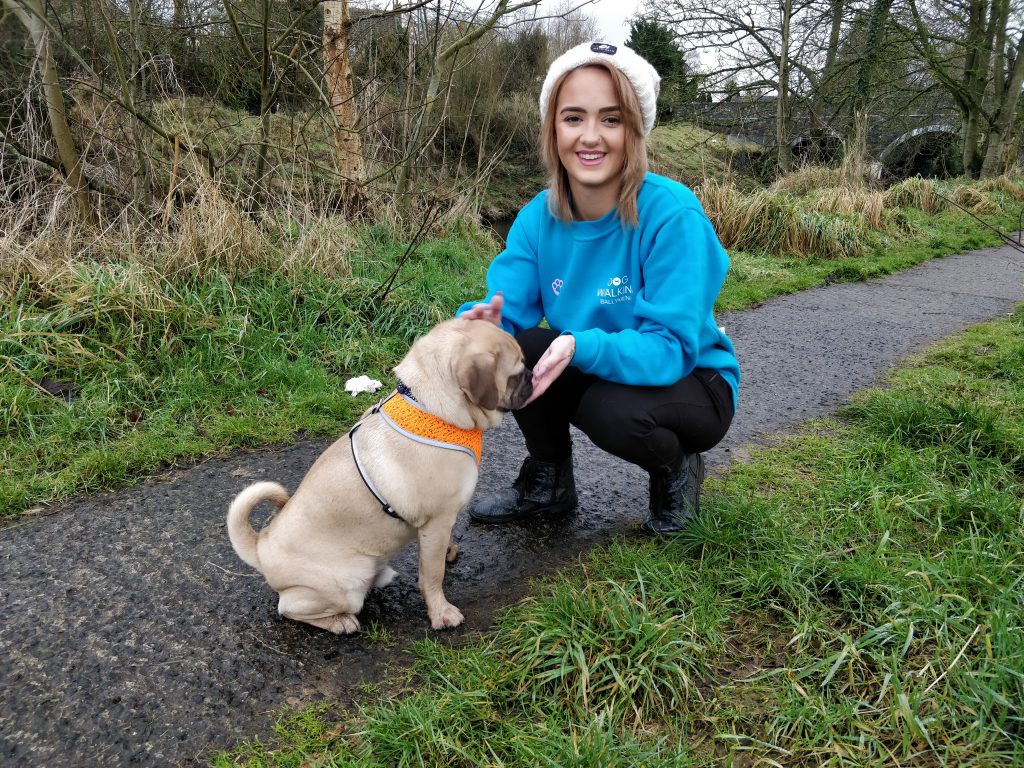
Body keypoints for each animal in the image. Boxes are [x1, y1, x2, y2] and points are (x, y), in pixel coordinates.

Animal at [228, 315, 532, 634]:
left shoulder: (439, 527)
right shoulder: (436, 523)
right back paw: (340, 622)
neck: (431, 408)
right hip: (347, 582)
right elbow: (432, 575)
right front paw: (440, 612)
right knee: (288, 609)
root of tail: (260, 545)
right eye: (515, 374)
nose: (532, 375)